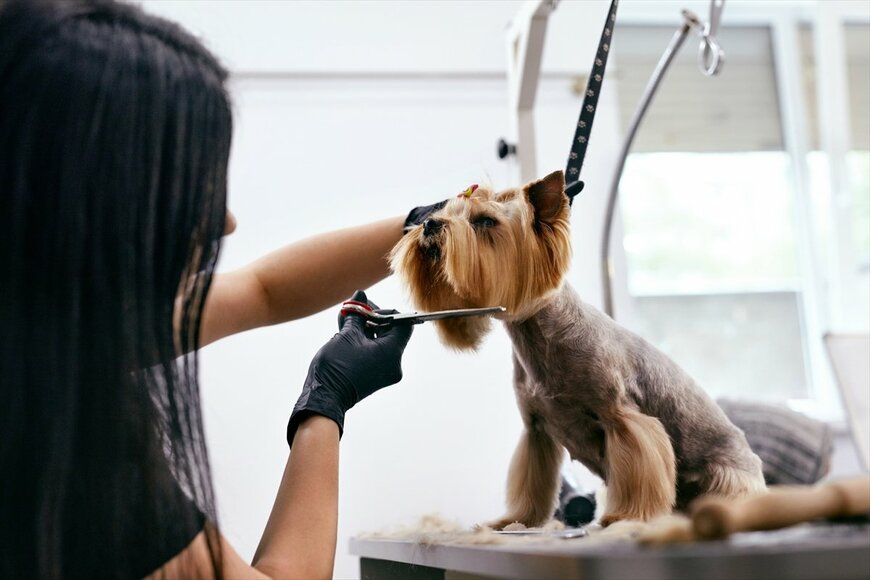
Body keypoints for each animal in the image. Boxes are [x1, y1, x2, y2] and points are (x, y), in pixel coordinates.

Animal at [392, 170, 768, 528]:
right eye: (444, 212)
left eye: (485, 221)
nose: (428, 223)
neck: (540, 337)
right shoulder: (536, 431)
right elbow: (531, 482)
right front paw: (514, 520)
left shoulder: (622, 418)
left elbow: (638, 465)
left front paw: (625, 516)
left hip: (727, 477)